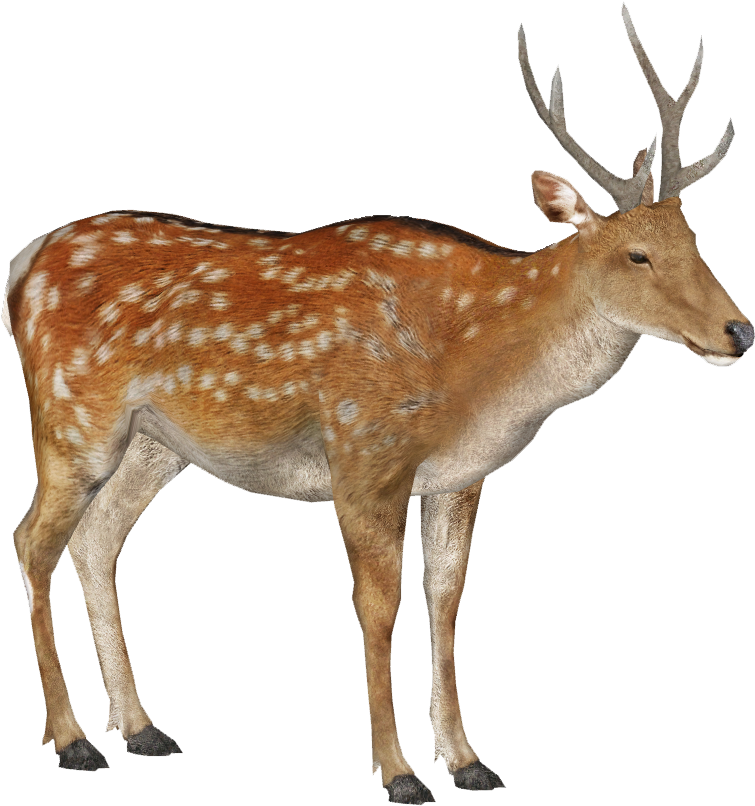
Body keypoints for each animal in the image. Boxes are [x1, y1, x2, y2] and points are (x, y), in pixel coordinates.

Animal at [5, 3, 750, 801]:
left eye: (695, 240)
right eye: (635, 255)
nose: (740, 331)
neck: (478, 371)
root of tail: (20, 271)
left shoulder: (459, 476)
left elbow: (445, 600)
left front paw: (469, 760)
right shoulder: (364, 452)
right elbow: (378, 607)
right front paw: (398, 773)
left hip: (152, 443)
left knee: (97, 538)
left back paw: (142, 728)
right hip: (72, 415)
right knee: (33, 538)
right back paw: (74, 739)